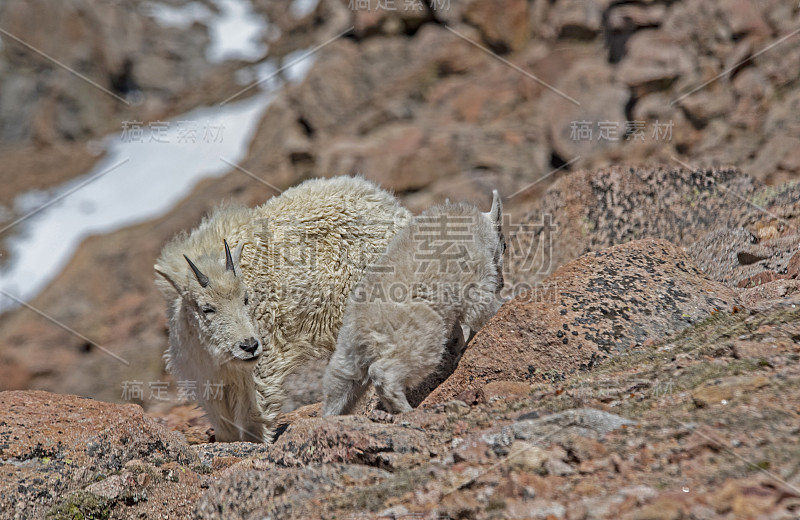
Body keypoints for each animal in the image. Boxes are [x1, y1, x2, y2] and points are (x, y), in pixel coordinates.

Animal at [155, 177, 412, 440]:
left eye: (246, 298)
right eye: (206, 308)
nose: (249, 346)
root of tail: (388, 203)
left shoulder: (261, 369)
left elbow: (253, 424)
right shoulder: (207, 383)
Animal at [320, 191, 504, 414]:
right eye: (505, 245)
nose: (502, 283)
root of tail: (361, 333)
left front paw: (457, 344)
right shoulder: (475, 281)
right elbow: (482, 311)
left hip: (347, 357)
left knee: (338, 387)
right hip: (422, 332)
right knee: (384, 372)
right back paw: (405, 410)